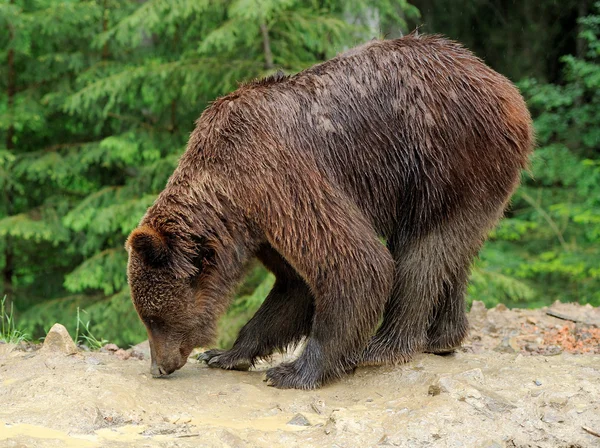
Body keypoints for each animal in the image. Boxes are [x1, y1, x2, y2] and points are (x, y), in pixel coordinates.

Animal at [124, 34, 532, 388]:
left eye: (154, 318)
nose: (159, 367)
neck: (229, 202)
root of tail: (507, 88)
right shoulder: (263, 227)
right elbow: (293, 286)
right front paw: (226, 354)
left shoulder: (273, 174)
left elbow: (354, 261)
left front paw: (293, 371)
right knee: (455, 251)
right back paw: (443, 338)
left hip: (447, 154)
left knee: (422, 249)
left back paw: (383, 347)